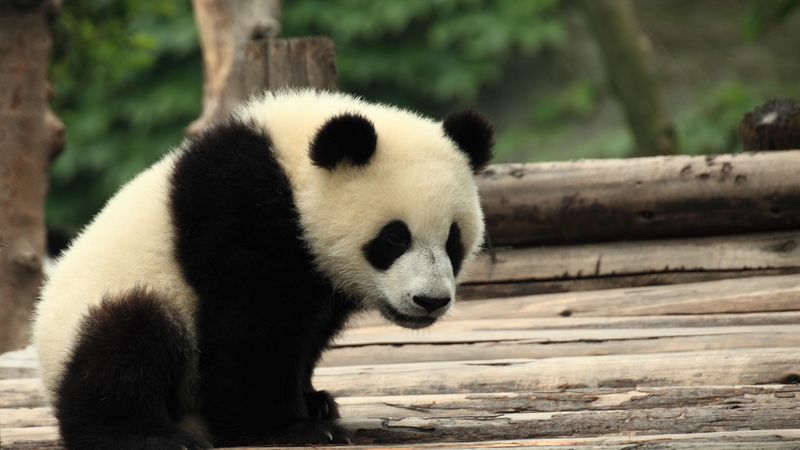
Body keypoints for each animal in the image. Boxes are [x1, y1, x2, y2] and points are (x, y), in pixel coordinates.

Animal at [32, 89, 493, 449]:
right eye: (395, 237)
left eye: (453, 240)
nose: (430, 301)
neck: (292, 169)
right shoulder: (240, 212)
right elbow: (252, 328)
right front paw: (290, 427)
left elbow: (306, 332)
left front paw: (314, 401)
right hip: (114, 304)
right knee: (127, 341)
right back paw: (147, 435)